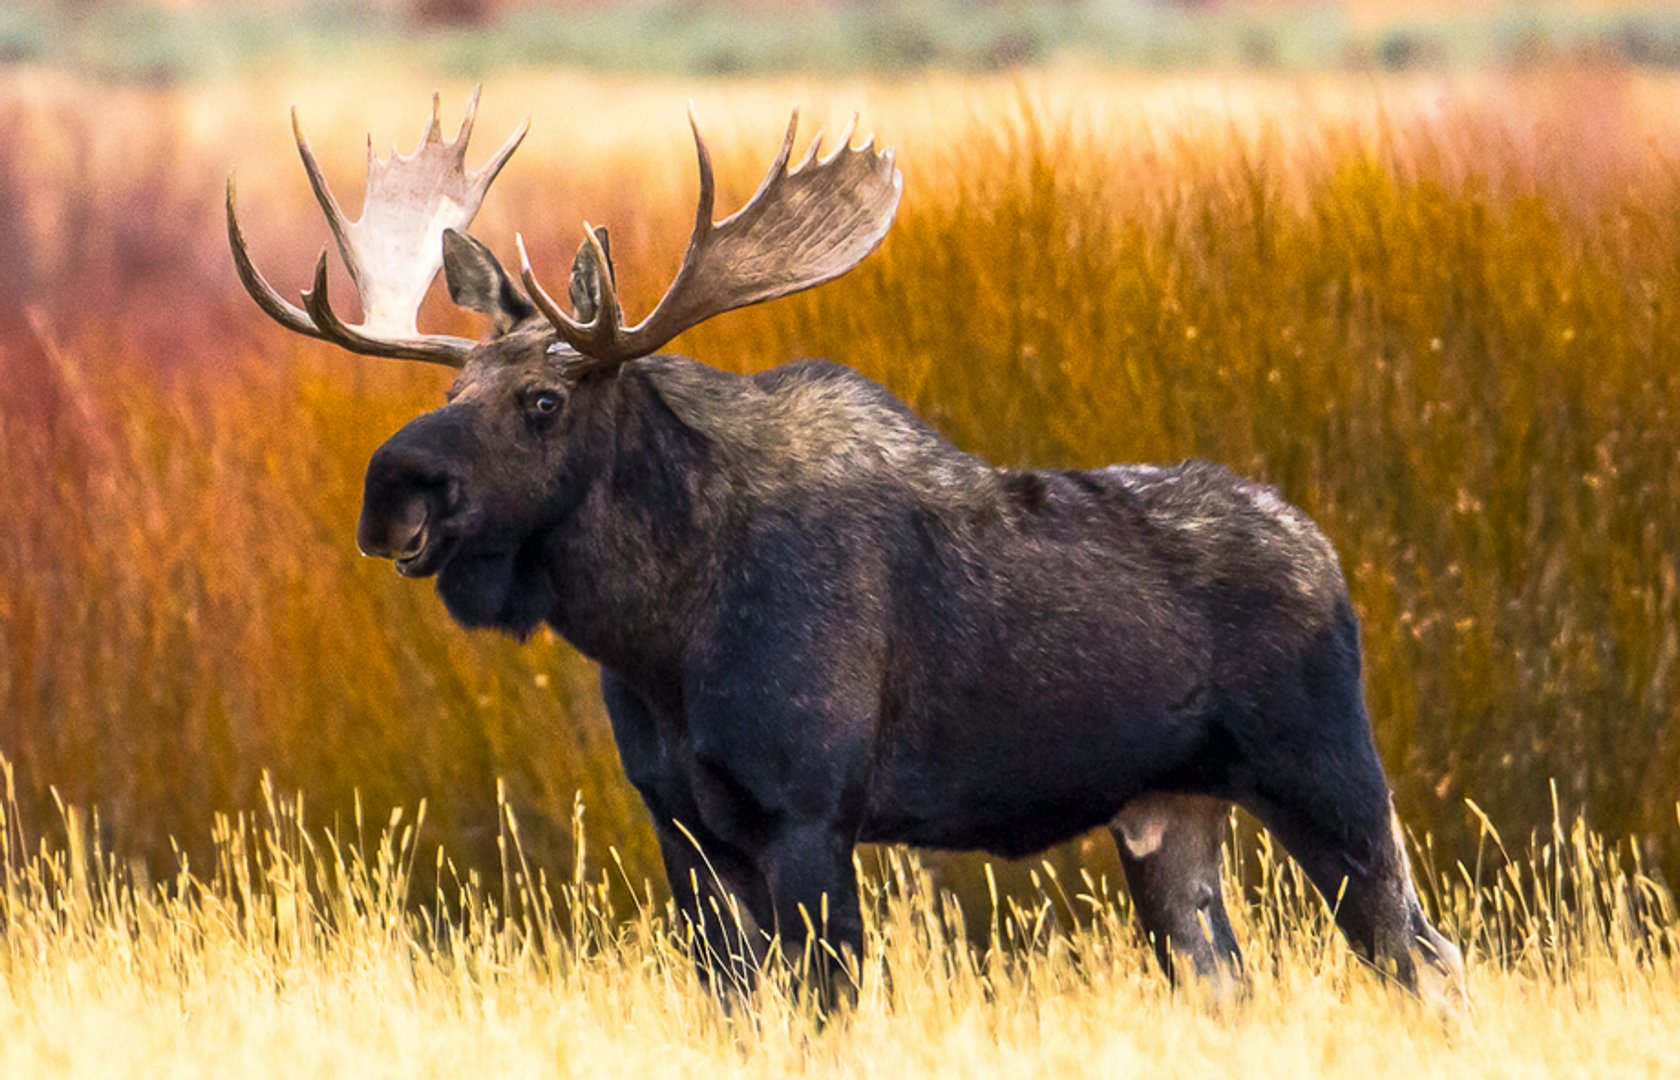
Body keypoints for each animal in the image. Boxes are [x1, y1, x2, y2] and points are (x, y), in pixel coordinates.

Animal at [230, 88, 1464, 1007]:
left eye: (541, 400)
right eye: (453, 388)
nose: (391, 495)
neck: (660, 634)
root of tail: (1331, 560)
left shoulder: (810, 814)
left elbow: (826, 1002)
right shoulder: (684, 827)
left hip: (1329, 778)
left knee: (1427, 957)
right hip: (1169, 816)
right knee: (1233, 978)